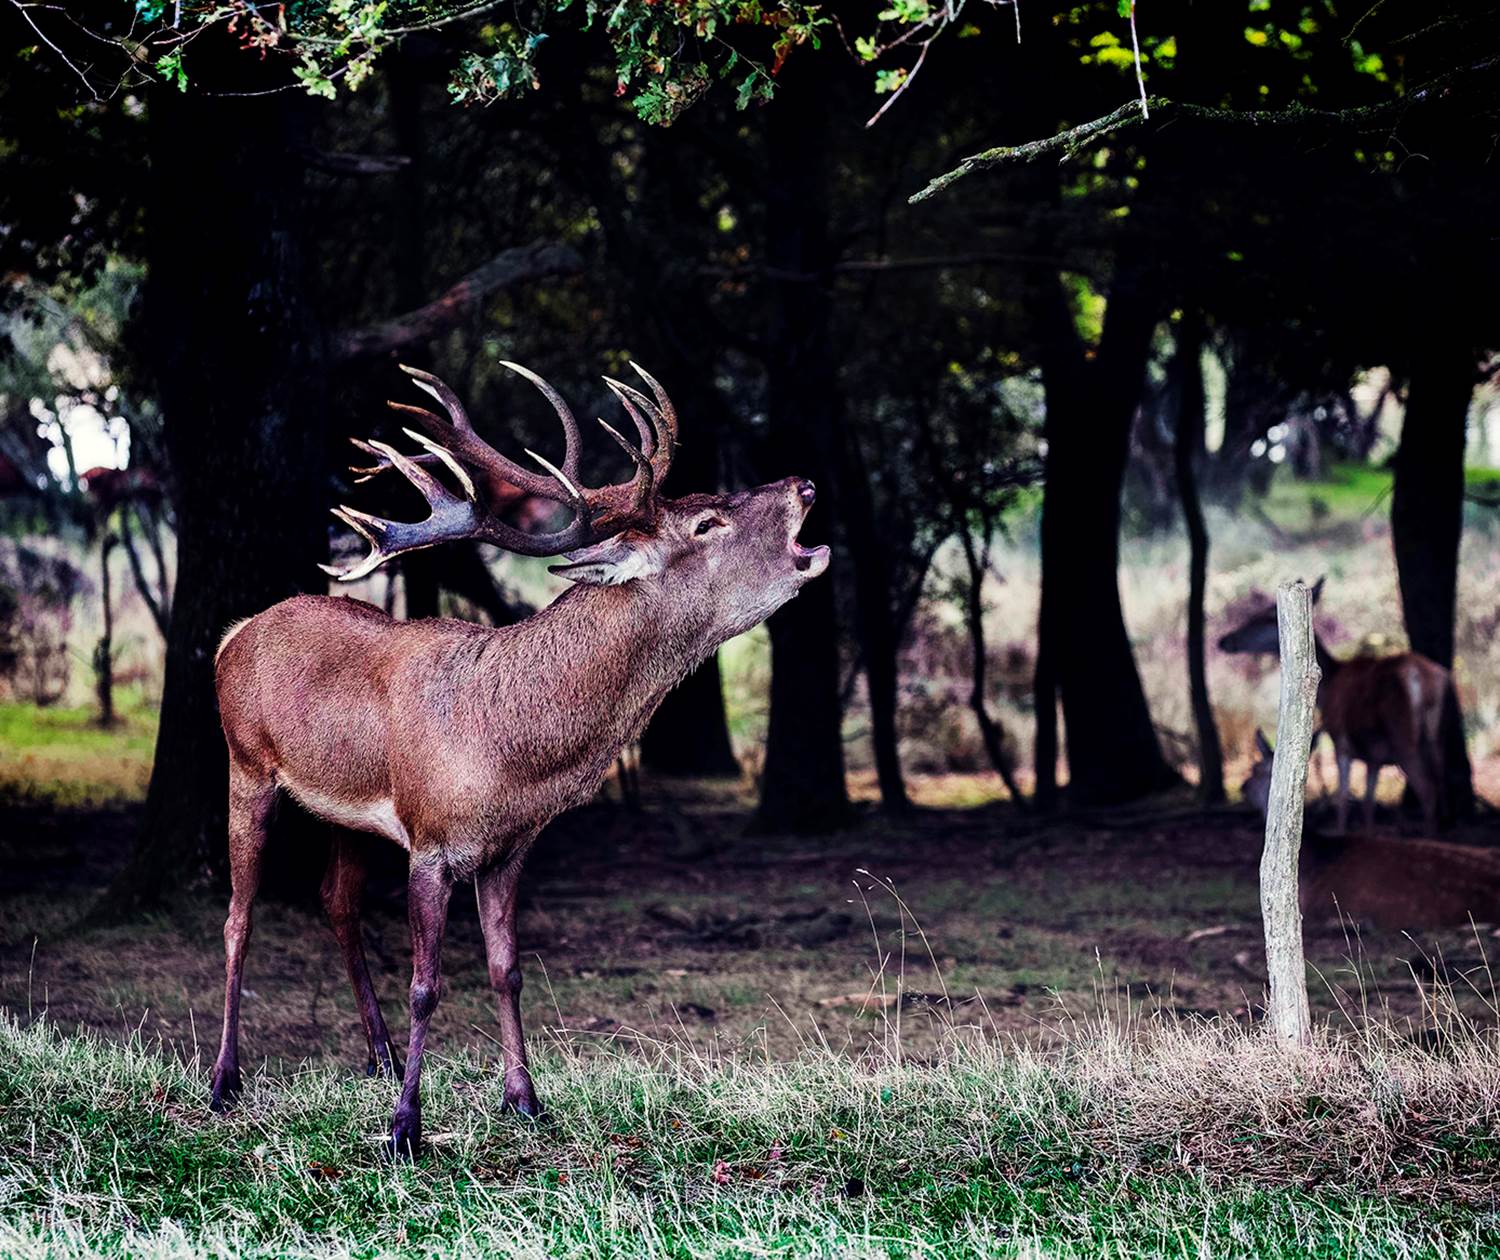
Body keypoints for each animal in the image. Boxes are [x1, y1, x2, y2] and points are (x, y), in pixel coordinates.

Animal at [209, 361, 830, 1157]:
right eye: (706, 522)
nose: (804, 483)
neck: (511, 752)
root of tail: (234, 633)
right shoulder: (432, 839)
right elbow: (427, 984)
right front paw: (404, 1130)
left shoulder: (508, 848)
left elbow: (506, 970)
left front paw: (526, 1100)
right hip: (245, 763)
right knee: (238, 917)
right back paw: (225, 1079)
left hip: (345, 812)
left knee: (336, 902)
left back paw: (378, 1056)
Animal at [1218, 577, 1451, 834]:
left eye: (1266, 616)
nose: (1225, 640)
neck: (1329, 683)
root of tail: (1426, 676)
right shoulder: (1373, 758)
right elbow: (1367, 805)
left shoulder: (1341, 740)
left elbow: (1342, 800)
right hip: (1436, 739)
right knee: (1439, 783)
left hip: (1403, 737)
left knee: (1428, 791)